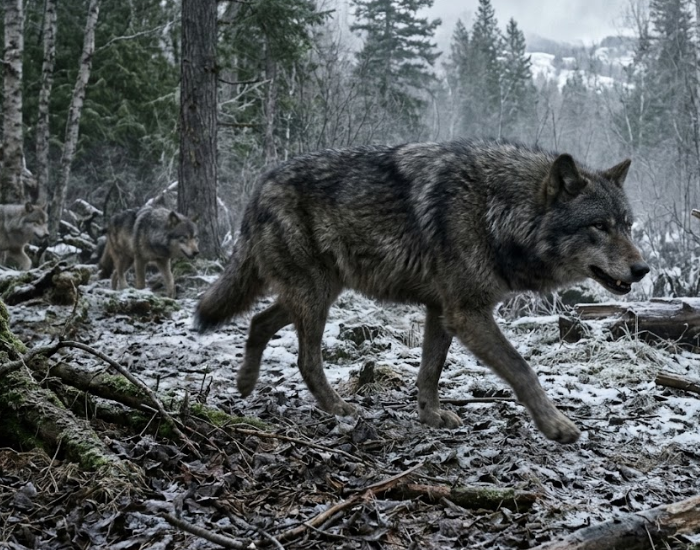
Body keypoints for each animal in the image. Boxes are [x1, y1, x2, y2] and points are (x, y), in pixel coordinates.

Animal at [194, 139, 650, 444]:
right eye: (599, 226)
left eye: (627, 225)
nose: (643, 269)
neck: (498, 211)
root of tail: (260, 185)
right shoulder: (467, 312)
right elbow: (522, 369)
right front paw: (556, 425)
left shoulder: (441, 310)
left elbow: (431, 370)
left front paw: (430, 416)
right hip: (315, 295)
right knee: (305, 359)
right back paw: (338, 408)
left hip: (316, 293)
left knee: (258, 320)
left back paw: (245, 384)